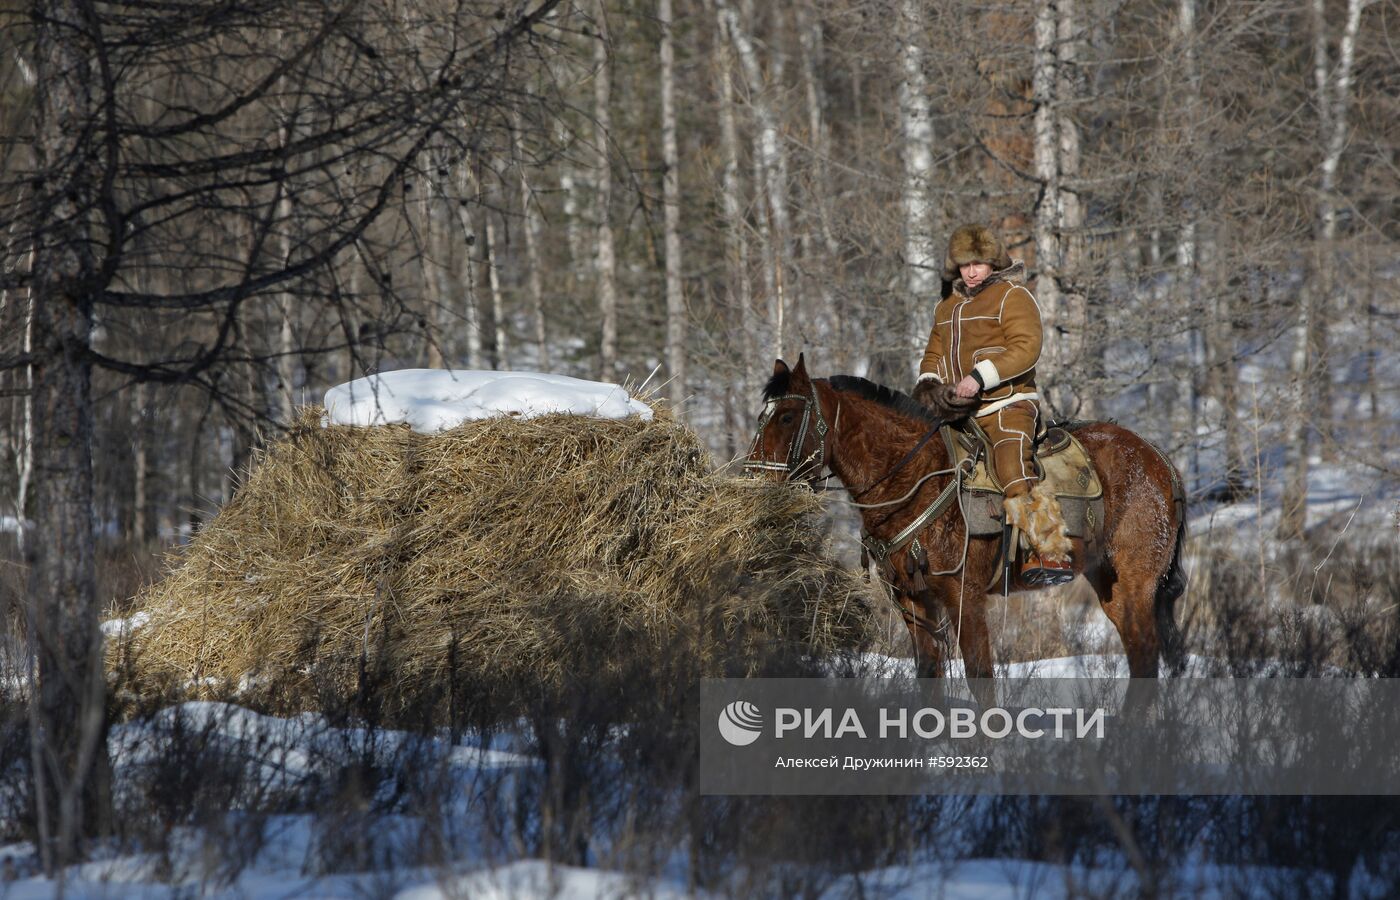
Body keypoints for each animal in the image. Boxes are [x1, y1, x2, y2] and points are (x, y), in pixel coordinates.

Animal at [744, 355, 1181, 680]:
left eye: (786, 417)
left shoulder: (963, 597)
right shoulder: (912, 599)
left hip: (1136, 583)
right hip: (1109, 583)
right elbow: (929, 672)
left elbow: (979, 673)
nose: (754, 478)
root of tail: (1158, 458)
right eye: (762, 416)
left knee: (1145, 654)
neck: (916, 478)